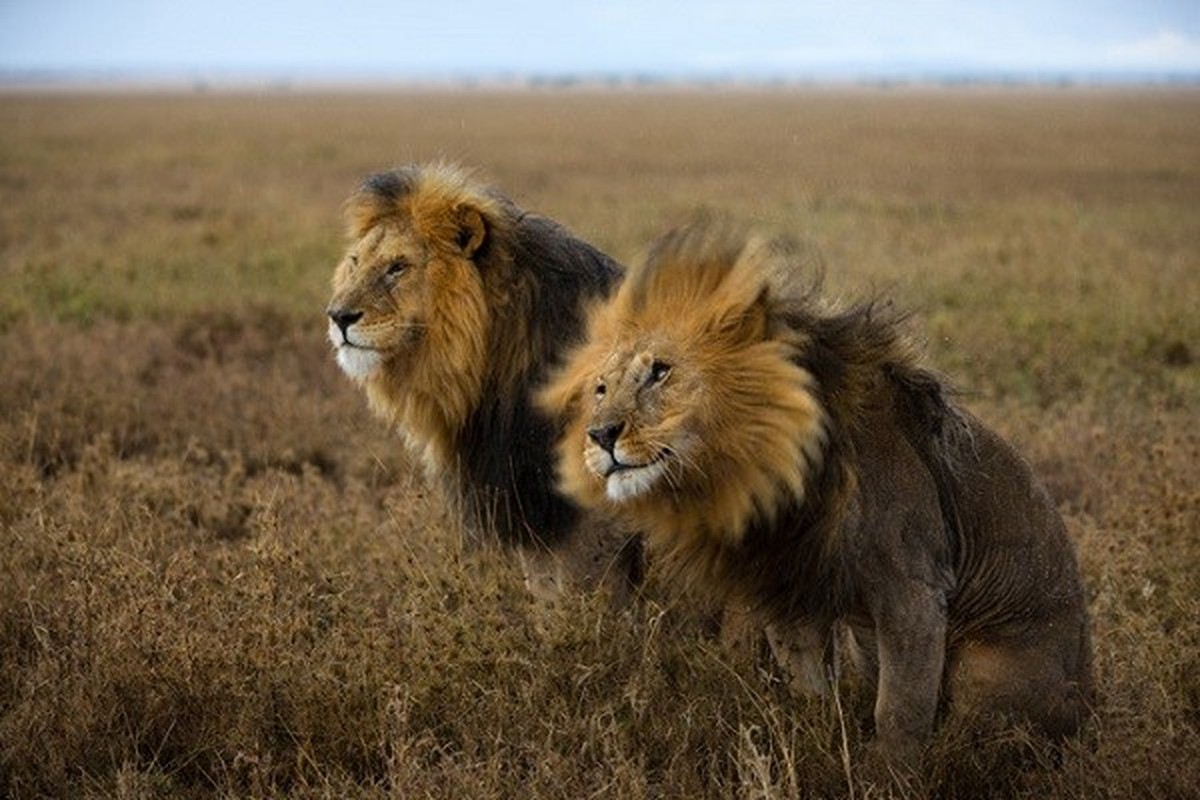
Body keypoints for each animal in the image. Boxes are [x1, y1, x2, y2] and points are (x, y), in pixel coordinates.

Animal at [540, 220, 1094, 767]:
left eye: (660, 372)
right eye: (601, 389)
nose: (600, 435)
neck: (768, 473)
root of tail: (1089, 708)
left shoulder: (915, 590)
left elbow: (900, 710)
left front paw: (888, 776)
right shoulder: (791, 591)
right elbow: (809, 691)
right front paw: (820, 743)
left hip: (987, 667)